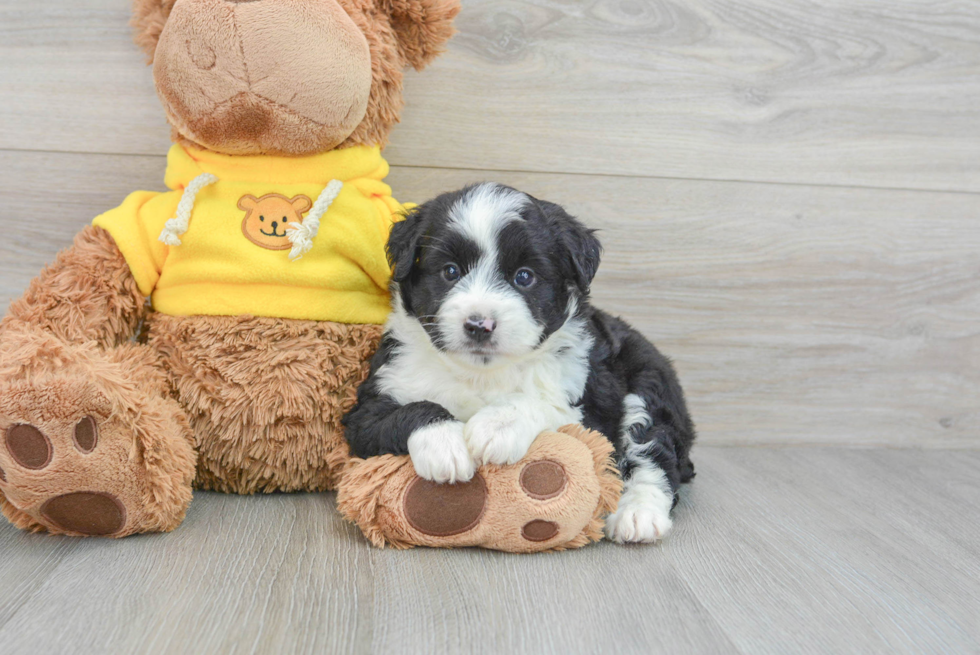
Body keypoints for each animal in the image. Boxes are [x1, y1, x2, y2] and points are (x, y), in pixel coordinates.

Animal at [344, 184, 696, 544]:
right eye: (450, 271)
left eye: (524, 277)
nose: (479, 325)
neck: (480, 374)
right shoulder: (370, 407)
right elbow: (409, 410)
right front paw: (444, 444)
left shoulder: (589, 405)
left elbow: (540, 402)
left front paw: (496, 426)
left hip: (646, 384)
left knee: (653, 450)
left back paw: (637, 514)